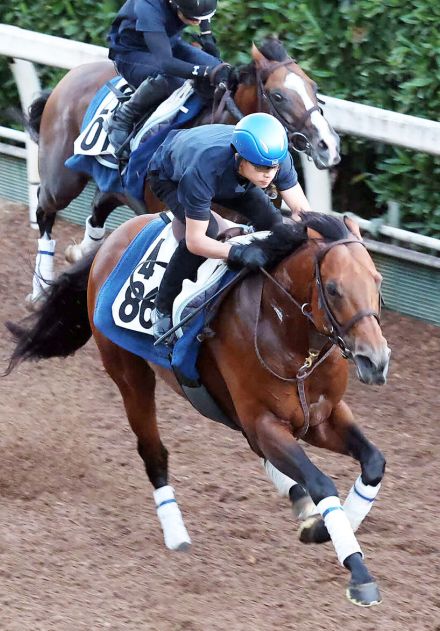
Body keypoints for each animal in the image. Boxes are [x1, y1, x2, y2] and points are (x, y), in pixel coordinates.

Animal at [6, 212, 390, 608]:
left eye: (376, 281)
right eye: (333, 288)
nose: (375, 360)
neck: (291, 338)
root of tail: (118, 235)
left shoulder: (321, 417)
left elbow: (373, 462)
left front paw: (325, 527)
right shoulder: (265, 421)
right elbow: (321, 482)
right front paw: (356, 569)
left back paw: (297, 500)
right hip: (129, 374)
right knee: (153, 450)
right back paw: (176, 531)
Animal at [24, 36, 340, 304]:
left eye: (313, 88)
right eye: (278, 96)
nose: (328, 145)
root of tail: (71, 76)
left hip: (116, 185)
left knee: (97, 208)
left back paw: (78, 254)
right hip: (63, 181)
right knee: (45, 210)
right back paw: (40, 289)